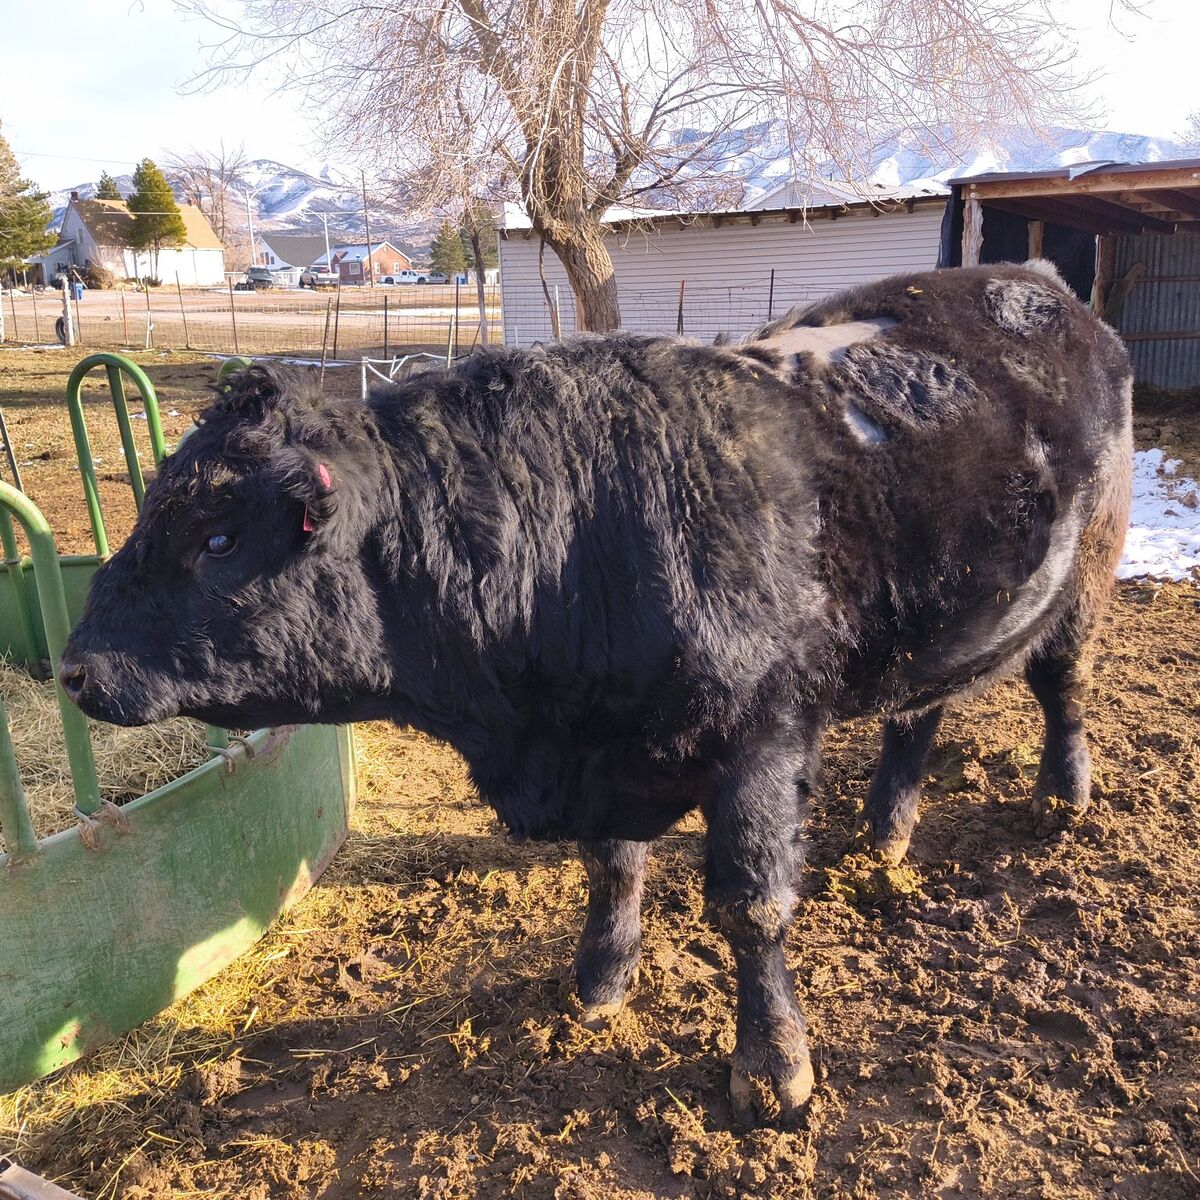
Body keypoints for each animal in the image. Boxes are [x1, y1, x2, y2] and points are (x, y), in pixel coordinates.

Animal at [60, 262, 1132, 1124]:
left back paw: (1062, 798)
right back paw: (888, 832)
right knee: (920, 708)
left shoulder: (761, 740)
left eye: (218, 537)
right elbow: (612, 868)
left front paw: (773, 1068)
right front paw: (601, 980)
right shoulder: (607, 749)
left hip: (1088, 570)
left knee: (1062, 683)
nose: (75, 669)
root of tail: (1037, 284)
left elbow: (753, 908)